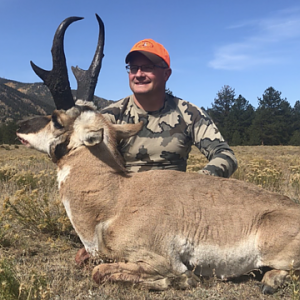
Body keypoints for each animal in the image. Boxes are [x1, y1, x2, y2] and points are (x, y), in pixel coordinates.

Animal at [17, 14, 300, 292]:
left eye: (56, 119)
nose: (20, 126)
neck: (116, 198)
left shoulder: (161, 259)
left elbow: (101, 272)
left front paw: (179, 280)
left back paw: (270, 281)